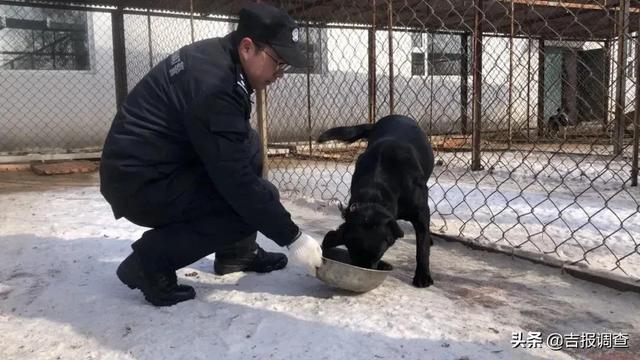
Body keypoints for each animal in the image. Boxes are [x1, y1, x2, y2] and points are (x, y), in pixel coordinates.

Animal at [318, 114, 436, 286]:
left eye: (377, 255)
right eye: (352, 253)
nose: (363, 272)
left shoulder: (420, 211)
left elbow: (422, 245)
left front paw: (423, 275)